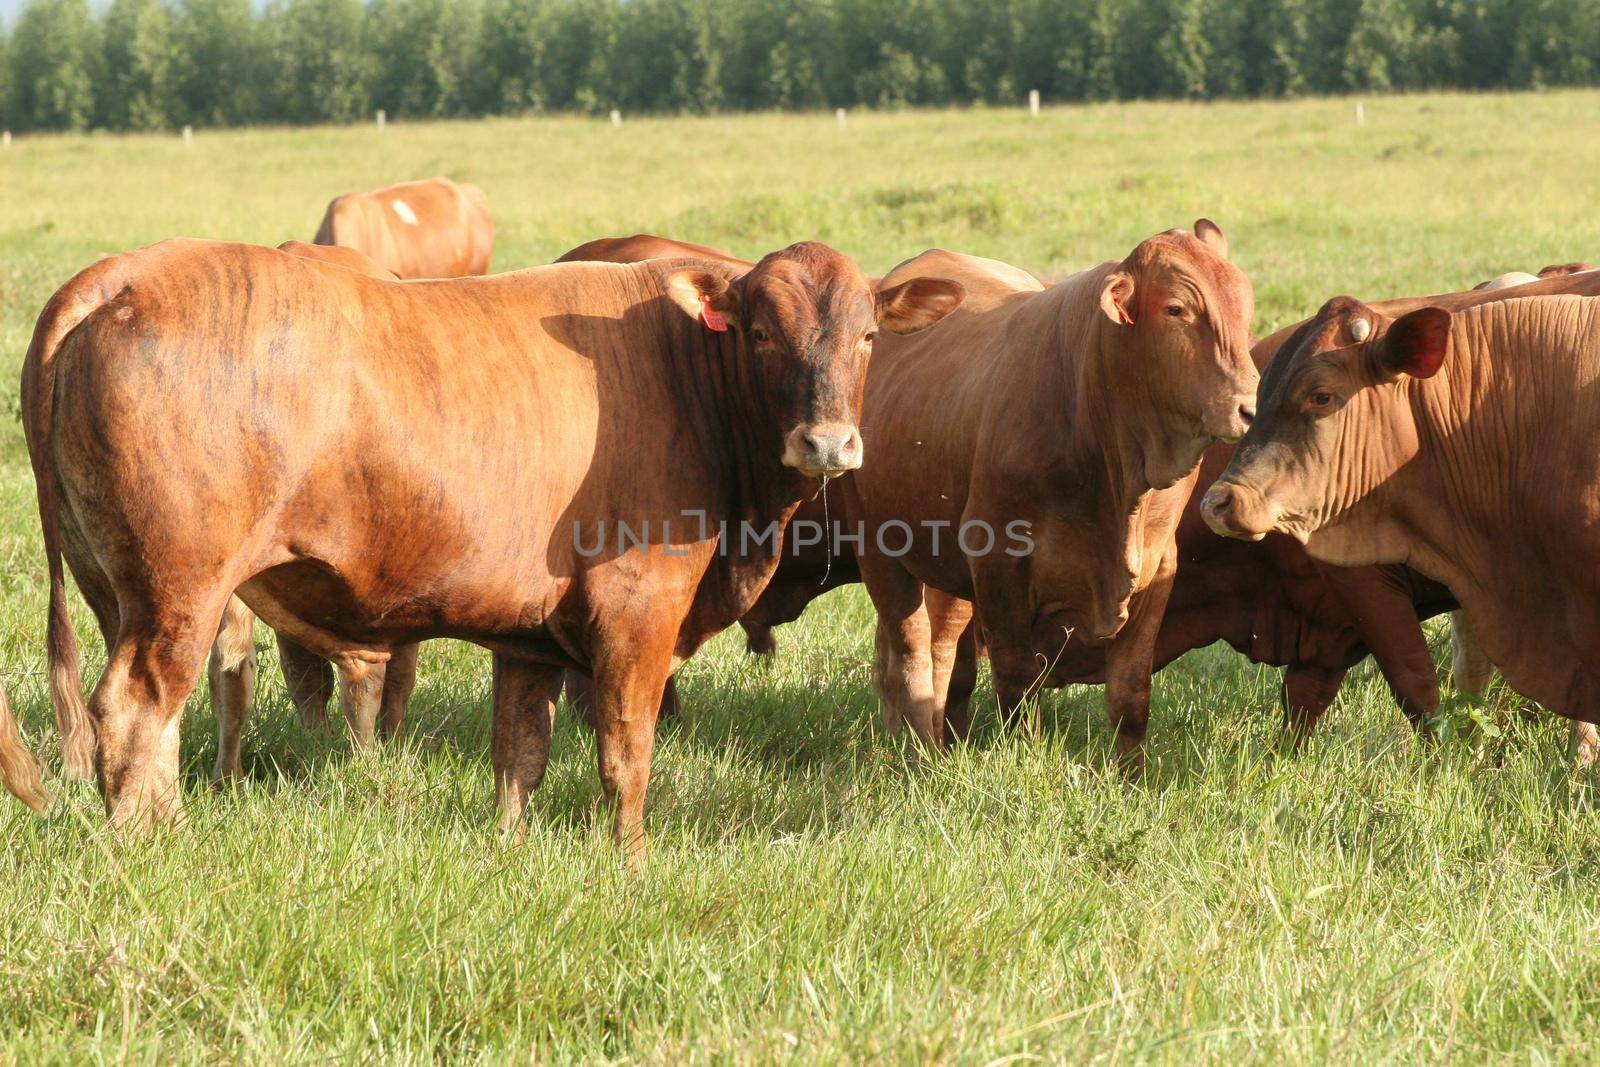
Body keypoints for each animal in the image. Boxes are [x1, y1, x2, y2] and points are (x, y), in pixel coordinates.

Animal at [9, 238, 960, 857]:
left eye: (868, 335)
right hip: (182, 591)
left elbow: (520, 755)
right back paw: (148, 845)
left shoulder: (528, 634)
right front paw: (630, 858)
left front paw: (509, 848)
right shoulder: (636, 612)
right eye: (762, 333)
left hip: (120, 591)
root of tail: (119, 274)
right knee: (136, 711)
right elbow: (626, 753)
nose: (827, 443)